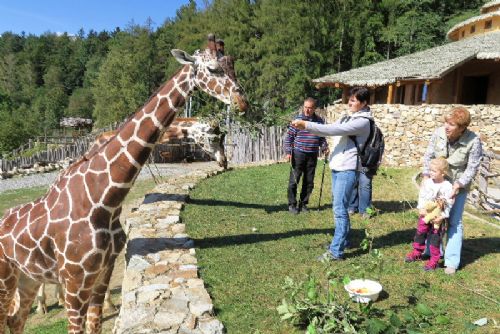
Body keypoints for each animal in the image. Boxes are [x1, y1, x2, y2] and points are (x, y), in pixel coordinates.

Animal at [0, 34, 247, 334]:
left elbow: (95, 324)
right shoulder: (74, 282)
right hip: (6, 279)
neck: (103, 198)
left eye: (233, 65)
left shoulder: (102, 273)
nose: (242, 103)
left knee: (15, 319)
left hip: (27, 277)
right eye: (213, 69)